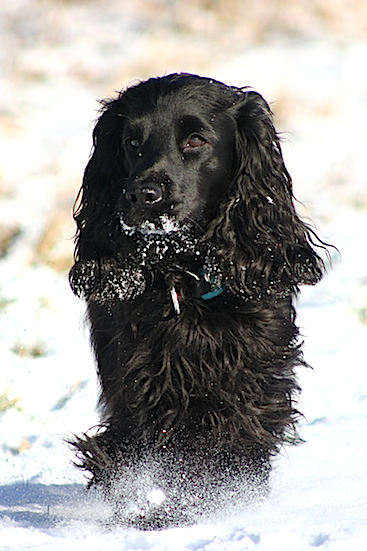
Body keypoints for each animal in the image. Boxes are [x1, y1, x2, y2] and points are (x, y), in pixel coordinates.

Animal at [68, 73, 324, 528]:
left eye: (195, 140)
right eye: (131, 142)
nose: (142, 194)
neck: (186, 273)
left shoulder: (254, 372)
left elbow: (236, 437)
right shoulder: (143, 378)